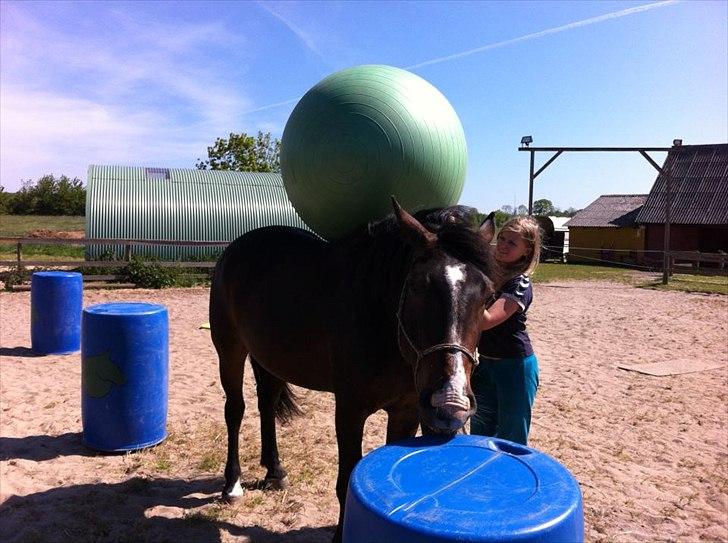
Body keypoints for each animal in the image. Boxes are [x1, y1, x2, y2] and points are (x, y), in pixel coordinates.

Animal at [208, 199, 498, 540]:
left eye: (488, 296)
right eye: (415, 286)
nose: (450, 401)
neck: (378, 315)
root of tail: (237, 248)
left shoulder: (406, 412)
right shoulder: (349, 411)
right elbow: (345, 481)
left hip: (270, 358)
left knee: (266, 403)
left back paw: (275, 471)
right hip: (230, 349)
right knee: (235, 410)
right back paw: (232, 483)